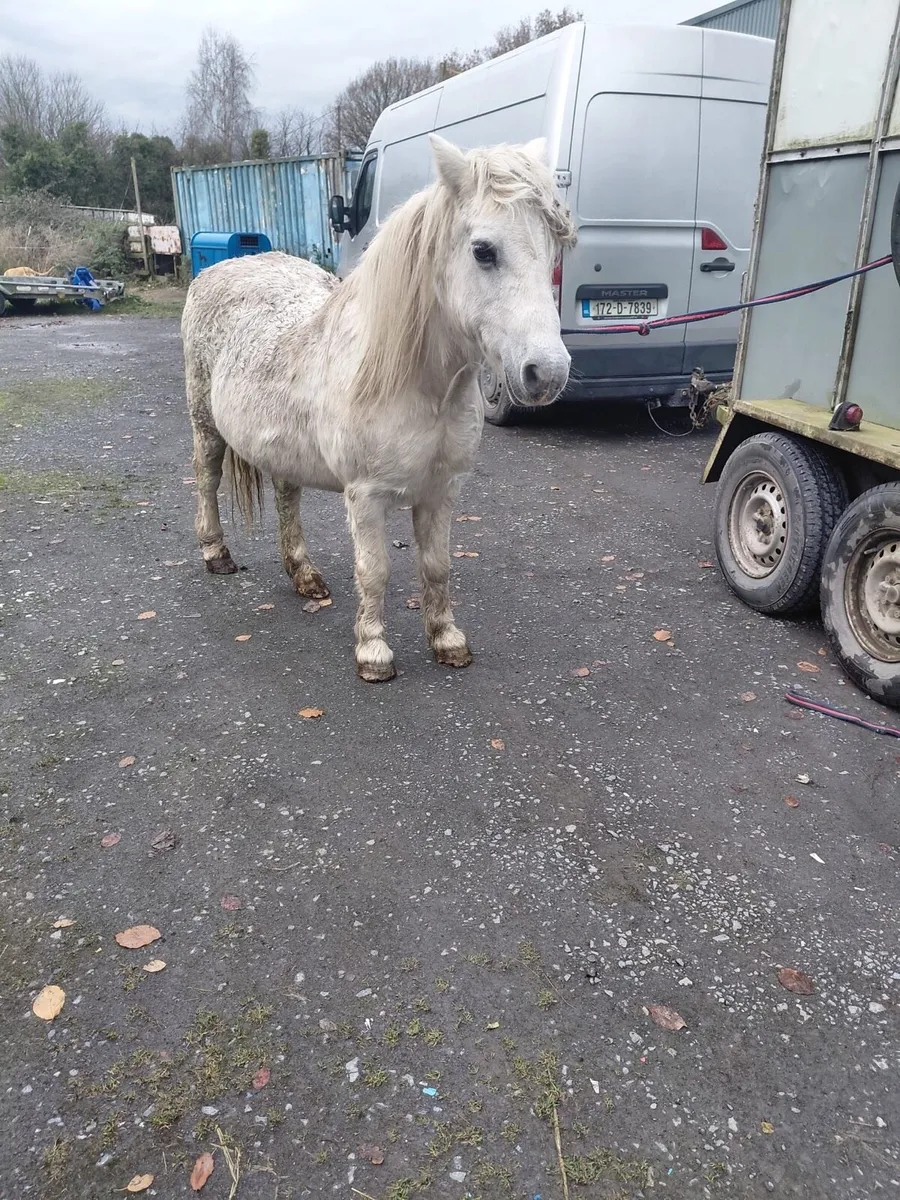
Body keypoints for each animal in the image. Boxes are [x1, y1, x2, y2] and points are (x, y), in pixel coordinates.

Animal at [181, 135, 576, 682]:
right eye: (483, 251)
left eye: (553, 247)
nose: (548, 374)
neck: (418, 386)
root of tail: (220, 269)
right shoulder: (365, 497)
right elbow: (375, 571)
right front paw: (373, 651)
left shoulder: (442, 492)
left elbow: (437, 566)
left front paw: (447, 639)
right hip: (206, 426)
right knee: (207, 479)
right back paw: (216, 553)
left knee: (286, 497)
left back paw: (304, 574)